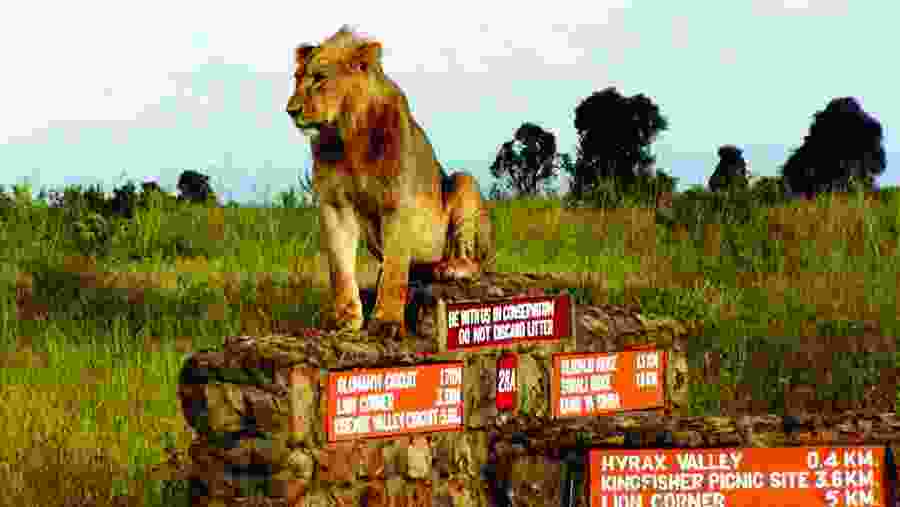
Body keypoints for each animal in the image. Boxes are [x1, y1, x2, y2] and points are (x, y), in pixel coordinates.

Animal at [287, 26, 495, 340]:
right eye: (297, 78)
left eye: (320, 77)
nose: (291, 110)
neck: (347, 135)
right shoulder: (335, 204)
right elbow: (339, 266)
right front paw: (344, 319)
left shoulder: (397, 202)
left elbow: (397, 269)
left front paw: (386, 322)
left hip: (463, 182)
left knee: (474, 263)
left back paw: (448, 268)